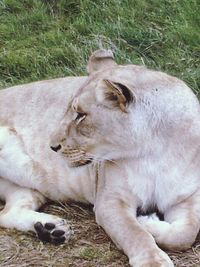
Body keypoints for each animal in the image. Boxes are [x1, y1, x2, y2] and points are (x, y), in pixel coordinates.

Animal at [0, 49, 200, 266]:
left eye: (80, 115)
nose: (52, 147)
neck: (153, 152)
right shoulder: (109, 200)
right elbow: (134, 233)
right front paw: (152, 258)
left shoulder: (187, 196)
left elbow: (185, 234)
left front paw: (147, 222)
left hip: (29, 188)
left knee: (7, 213)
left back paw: (51, 229)